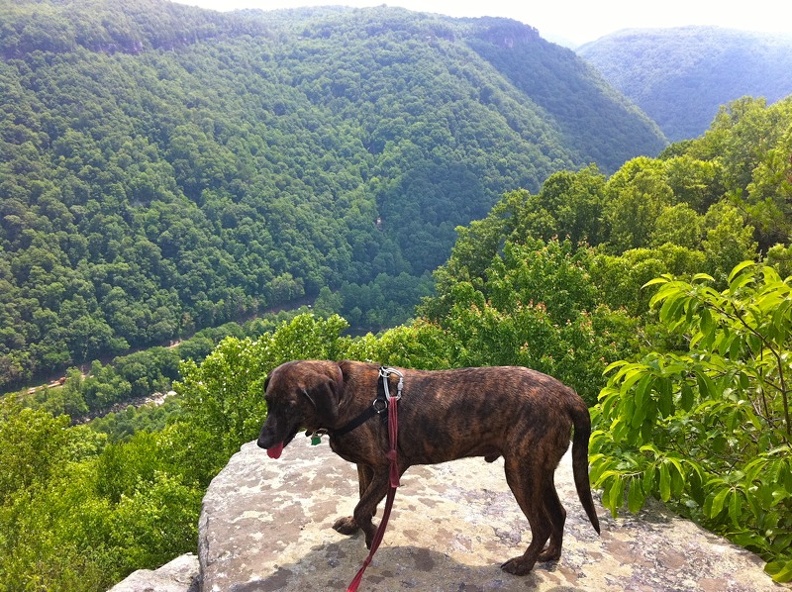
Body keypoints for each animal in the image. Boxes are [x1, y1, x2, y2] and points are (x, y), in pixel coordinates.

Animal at [256, 358, 596, 576]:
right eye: (268, 402)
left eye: (288, 405)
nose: (262, 442)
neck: (343, 395)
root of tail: (567, 394)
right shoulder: (366, 466)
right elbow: (362, 501)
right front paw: (357, 528)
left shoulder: (387, 467)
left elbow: (363, 507)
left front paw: (371, 536)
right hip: (539, 471)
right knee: (559, 514)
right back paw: (549, 555)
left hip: (521, 472)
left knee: (541, 525)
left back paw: (524, 565)